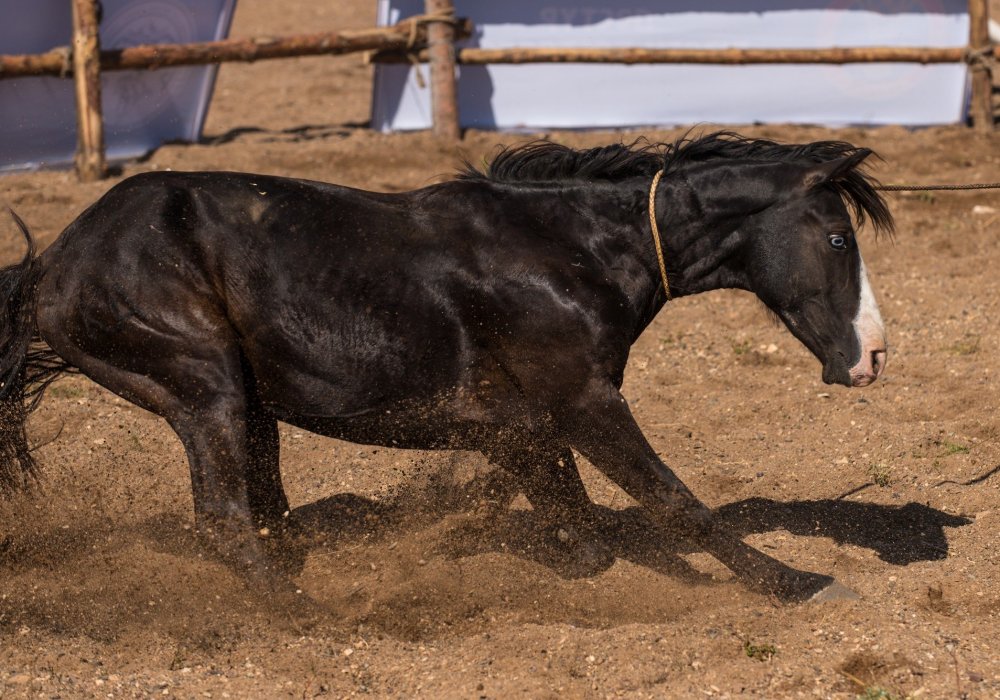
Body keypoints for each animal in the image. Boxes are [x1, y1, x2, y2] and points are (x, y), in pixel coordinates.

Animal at [0, 133, 892, 608]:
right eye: (838, 237)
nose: (874, 355)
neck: (578, 251)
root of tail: (51, 268)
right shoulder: (582, 400)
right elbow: (675, 502)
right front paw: (801, 582)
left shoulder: (526, 421)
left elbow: (571, 512)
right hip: (200, 383)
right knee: (224, 518)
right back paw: (310, 613)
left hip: (242, 405)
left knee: (267, 511)